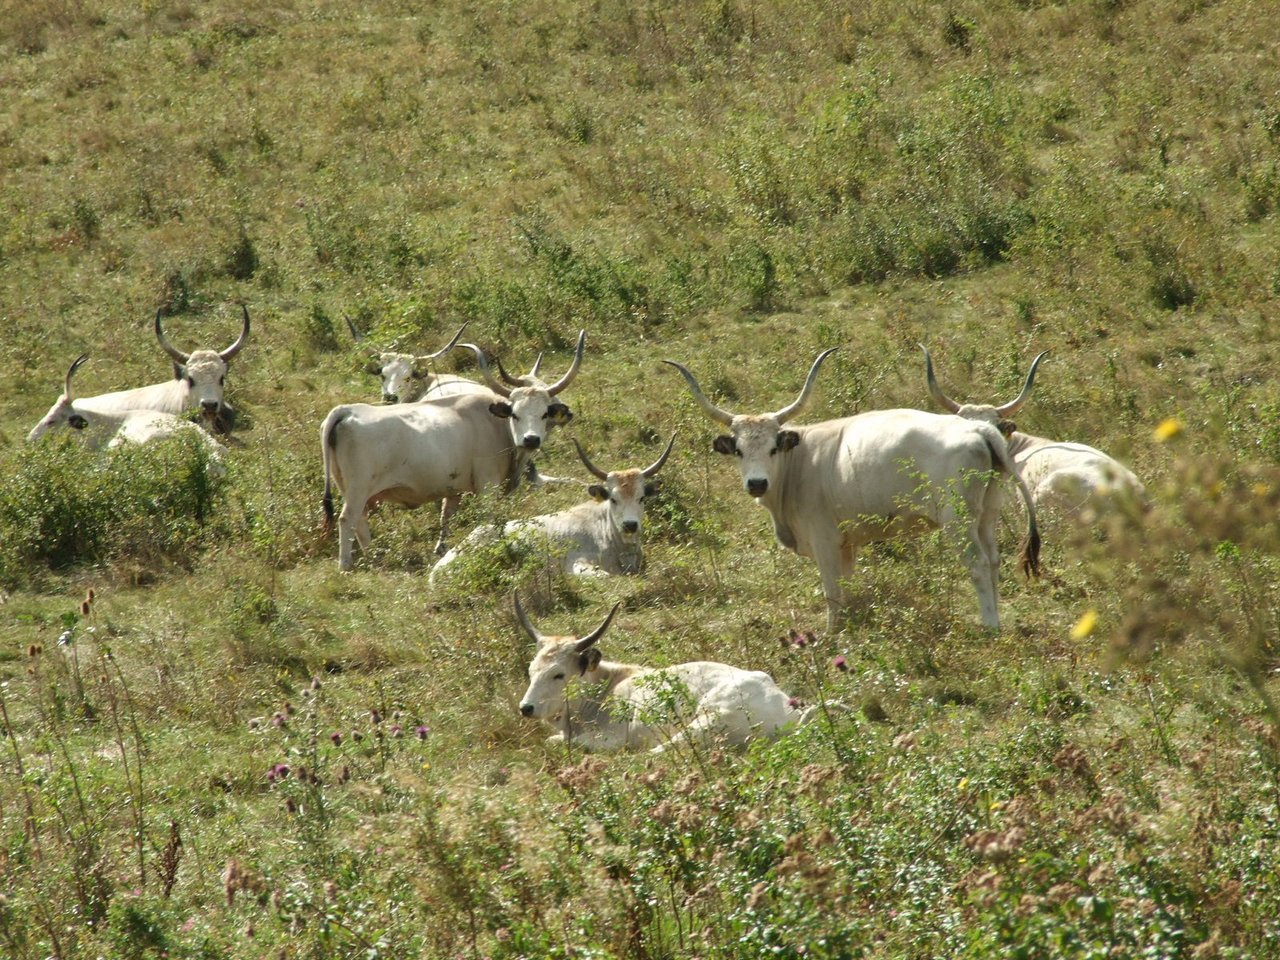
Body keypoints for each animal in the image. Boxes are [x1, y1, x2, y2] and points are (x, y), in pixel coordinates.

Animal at [665, 350, 1034, 634]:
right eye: (739, 451)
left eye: (772, 448)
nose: (757, 483)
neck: (801, 460)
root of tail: (979, 428)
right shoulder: (847, 544)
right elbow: (847, 587)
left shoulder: (825, 539)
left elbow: (831, 590)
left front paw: (831, 635)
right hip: (987, 514)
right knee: (994, 560)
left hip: (958, 520)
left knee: (978, 564)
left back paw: (989, 626)